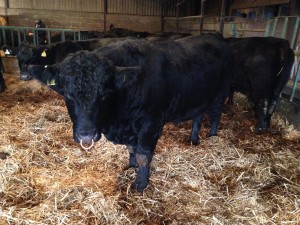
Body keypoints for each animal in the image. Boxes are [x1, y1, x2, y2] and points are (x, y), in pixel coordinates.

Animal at [27, 34, 233, 192]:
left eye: (104, 93)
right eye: (68, 94)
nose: (86, 135)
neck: (119, 119)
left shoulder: (151, 123)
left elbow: (143, 154)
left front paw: (140, 183)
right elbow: (131, 149)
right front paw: (131, 166)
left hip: (221, 92)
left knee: (215, 114)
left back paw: (212, 136)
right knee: (198, 116)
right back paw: (193, 139)